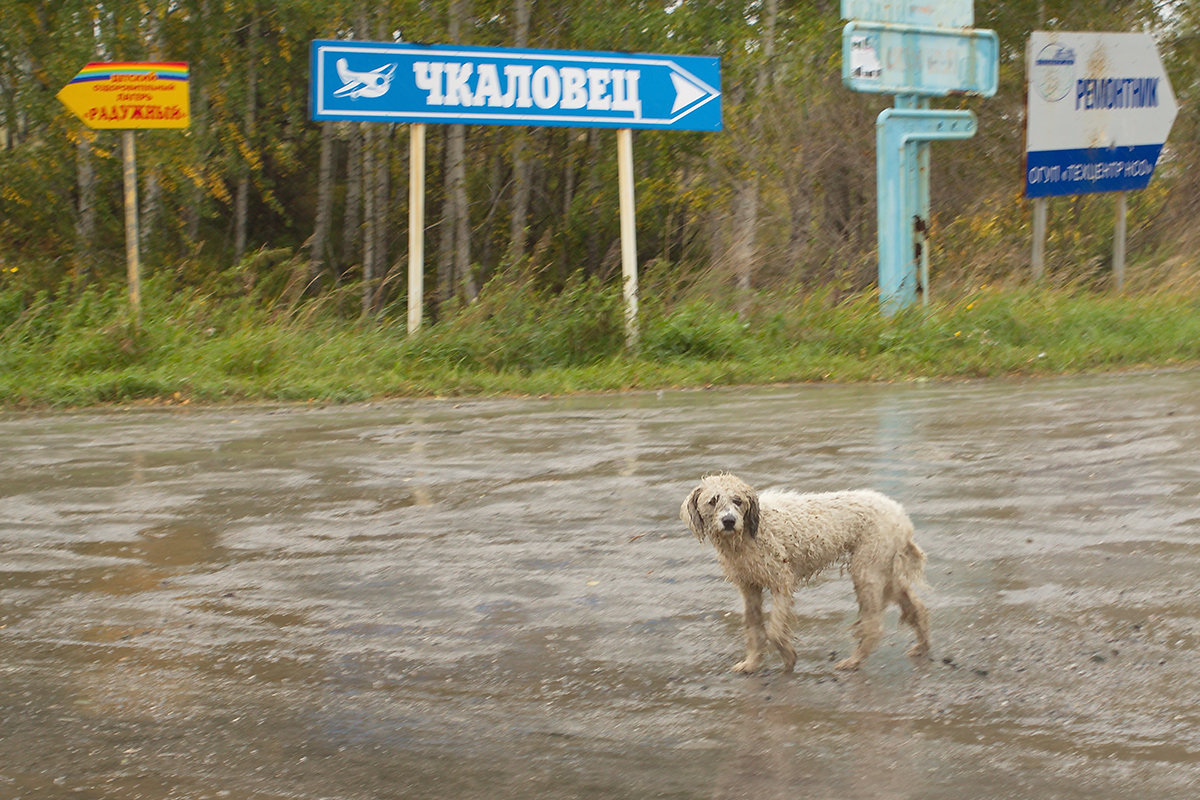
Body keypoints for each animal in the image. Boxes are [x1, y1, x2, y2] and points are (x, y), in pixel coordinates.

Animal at [681, 472, 931, 671]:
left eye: (737, 500)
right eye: (713, 501)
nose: (729, 521)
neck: (750, 534)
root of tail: (899, 513)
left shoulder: (782, 582)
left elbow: (774, 630)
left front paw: (788, 655)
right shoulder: (749, 587)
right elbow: (753, 628)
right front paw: (752, 663)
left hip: (867, 573)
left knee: (874, 626)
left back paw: (854, 660)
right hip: (885, 573)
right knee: (916, 607)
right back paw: (922, 645)